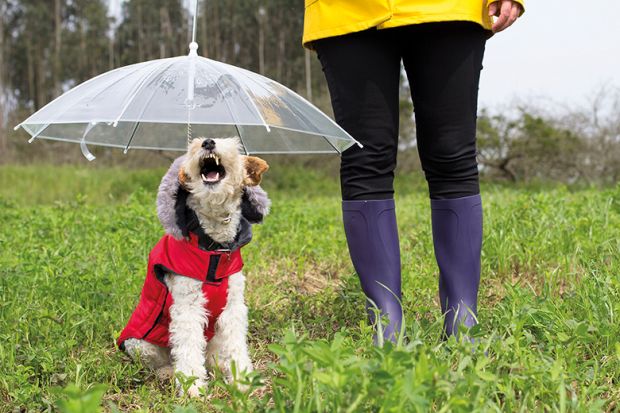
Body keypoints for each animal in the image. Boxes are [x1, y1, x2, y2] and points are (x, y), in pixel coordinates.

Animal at [118, 136, 268, 396]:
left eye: (229, 143)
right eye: (194, 145)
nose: (208, 142)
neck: (214, 248)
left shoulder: (233, 307)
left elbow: (236, 346)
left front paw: (242, 381)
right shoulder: (187, 307)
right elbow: (188, 350)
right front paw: (193, 389)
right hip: (140, 344)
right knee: (165, 360)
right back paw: (169, 374)